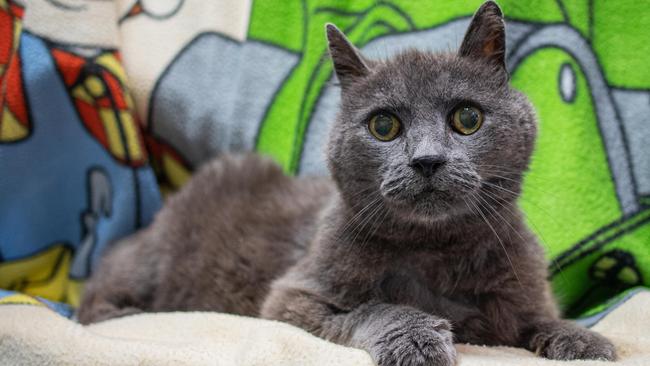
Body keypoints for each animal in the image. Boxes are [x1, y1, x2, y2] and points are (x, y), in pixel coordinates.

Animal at [76, 2, 612, 364]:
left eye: (467, 118)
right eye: (384, 126)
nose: (427, 160)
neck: (434, 251)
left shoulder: (521, 293)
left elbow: (538, 319)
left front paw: (582, 338)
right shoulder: (292, 297)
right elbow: (375, 307)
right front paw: (419, 338)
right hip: (151, 263)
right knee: (94, 296)